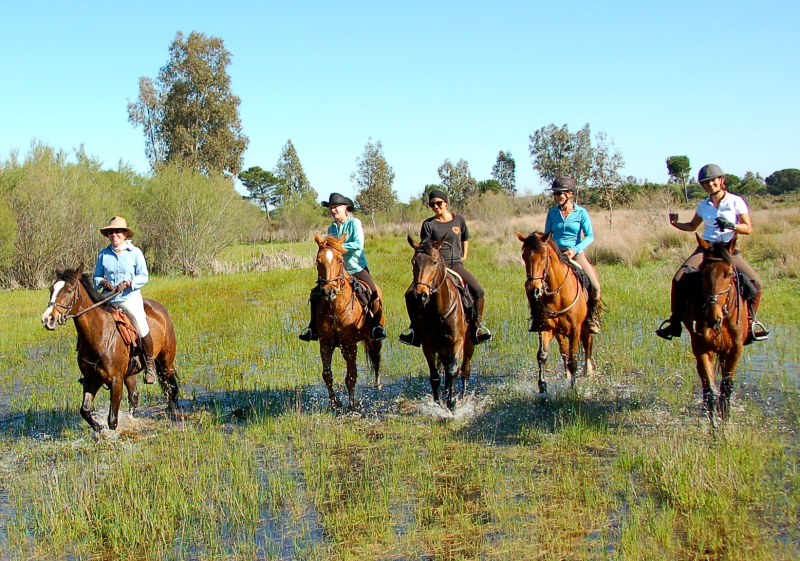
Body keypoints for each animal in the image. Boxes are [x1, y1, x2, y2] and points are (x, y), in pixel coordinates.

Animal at [41, 264, 180, 430]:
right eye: (51, 289)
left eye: (69, 290)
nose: (48, 319)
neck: (99, 335)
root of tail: (160, 309)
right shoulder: (91, 380)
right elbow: (85, 410)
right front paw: (98, 429)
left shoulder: (115, 381)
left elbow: (112, 420)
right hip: (131, 373)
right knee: (134, 396)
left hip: (166, 361)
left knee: (170, 385)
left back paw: (174, 413)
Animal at [314, 234, 382, 410]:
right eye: (318, 261)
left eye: (339, 260)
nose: (329, 291)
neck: (334, 310)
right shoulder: (326, 344)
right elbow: (327, 374)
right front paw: (334, 402)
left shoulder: (350, 345)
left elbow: (351, 376)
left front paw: (352, 404)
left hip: (374, 339)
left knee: (377, 359)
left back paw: (377, 385)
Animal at [410, 234, 472, 410]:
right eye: (413, 262)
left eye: (434, 262)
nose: (420, 295)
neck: (439, 311)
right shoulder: (428, 346)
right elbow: (435, 376)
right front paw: (438, 404)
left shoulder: (457, 342)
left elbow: (453, 371)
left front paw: (452, 404)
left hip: (469, 342)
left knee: (465, 370)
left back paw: (462, 396)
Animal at [520, 230, 592, 392]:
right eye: (524, 257)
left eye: (543, 256)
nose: (533, 289)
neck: (558, 295)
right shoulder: (546, 327)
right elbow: (542, 355)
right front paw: (542, 386)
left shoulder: (576, 329)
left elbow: (573, 359)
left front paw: (573, 389)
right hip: (559, 331)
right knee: (564, 350)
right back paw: (567, 375)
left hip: (585, 327)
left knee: (587, 344)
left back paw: (589, 372)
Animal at [684, 234, 748, 422]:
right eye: (702, 273)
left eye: (729, 274)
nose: (713, 318)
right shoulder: (701, 347)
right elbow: (710, 388)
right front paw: (712, 424)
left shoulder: (736, 349)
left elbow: (726, 387)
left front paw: (725, 419)